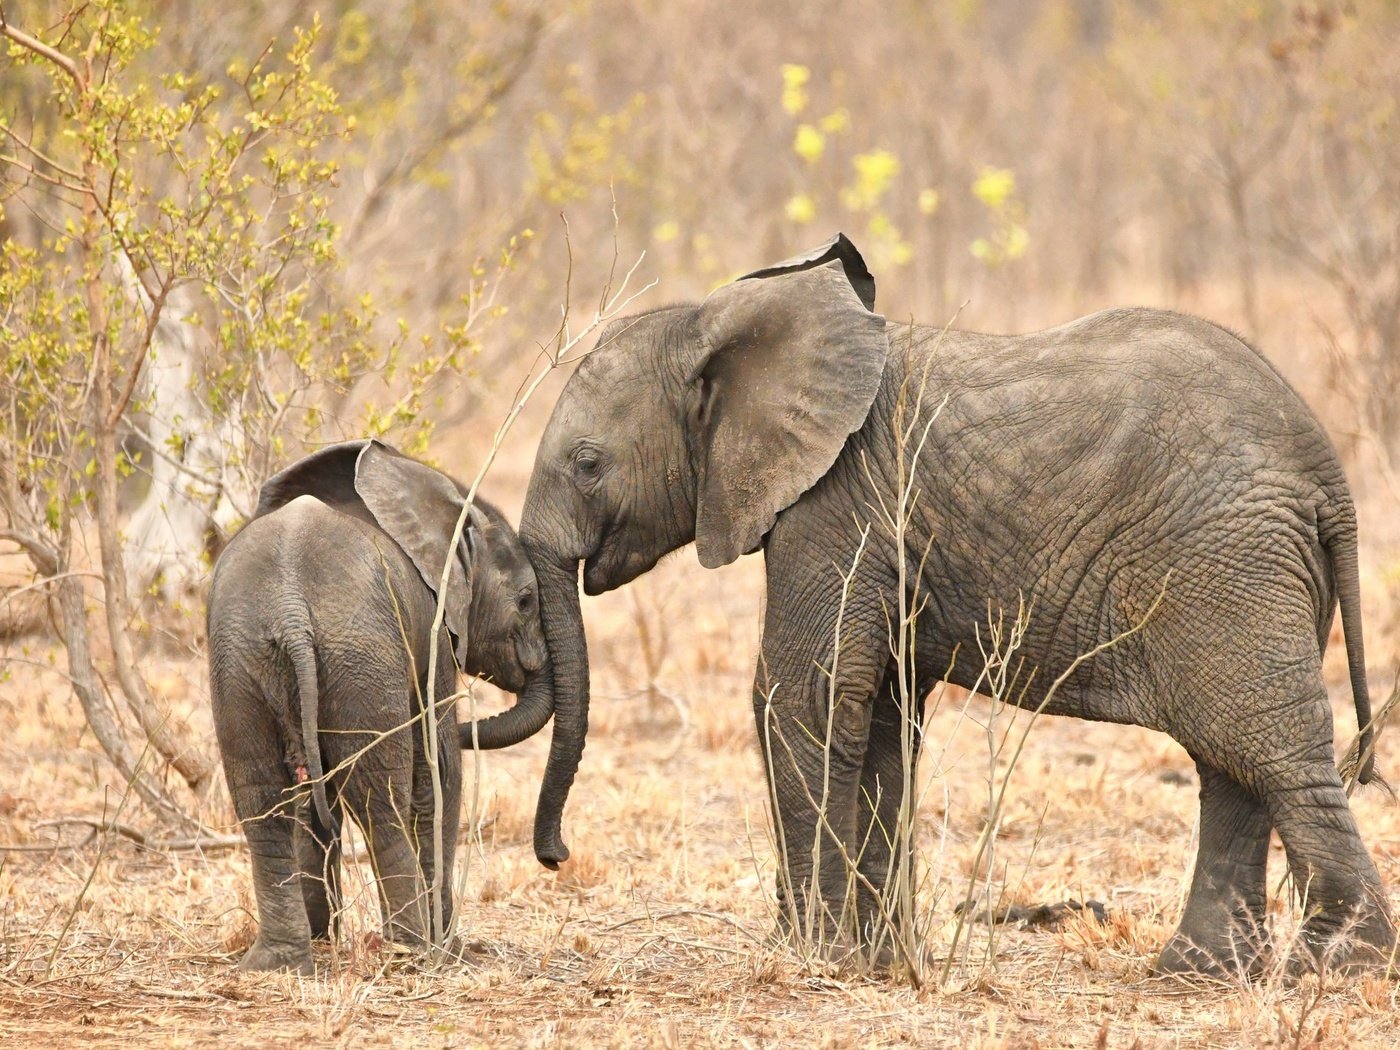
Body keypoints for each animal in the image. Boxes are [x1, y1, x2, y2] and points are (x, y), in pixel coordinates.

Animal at [207, 439, 551, 974]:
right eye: (527, 600)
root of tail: (289, 611)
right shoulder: (432, 632)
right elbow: (439, 766)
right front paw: (449, 946)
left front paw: (323, 936)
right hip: (359, 656)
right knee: (378, 797)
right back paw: (412, 949)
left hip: (240, 660)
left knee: (262, 798)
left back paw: (279, 963)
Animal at [520, 233, 1394, 985]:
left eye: (588, 464)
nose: (556, 857)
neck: (723, 328)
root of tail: (1328, 473)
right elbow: (878, 717)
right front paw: (874, 964)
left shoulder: (838, 504)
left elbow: (802, 695)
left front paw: (813, 957)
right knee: (1231, 762)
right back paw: (1198, 974)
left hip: (1227, 564)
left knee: (1270, 750)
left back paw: (1336, 967)